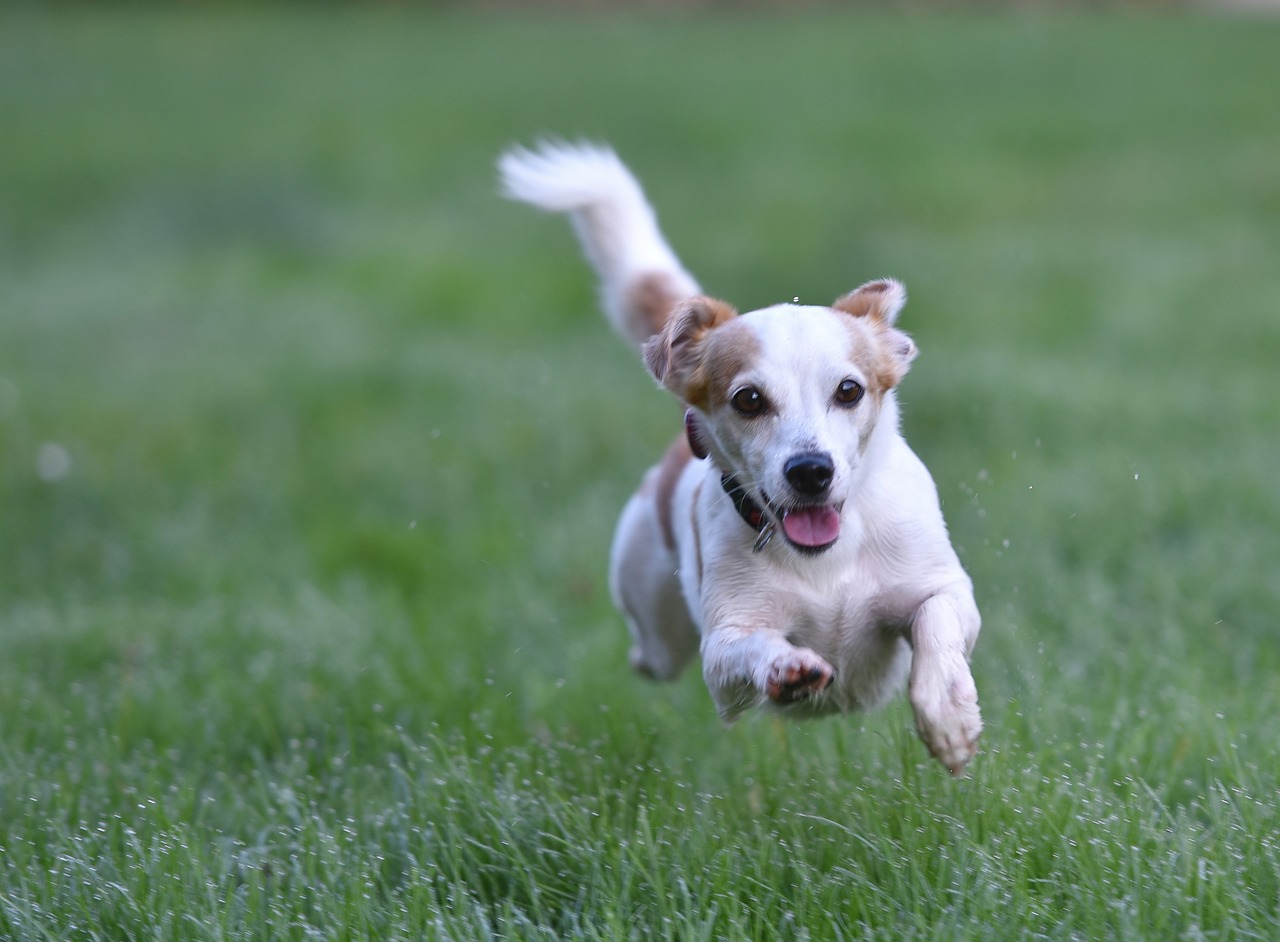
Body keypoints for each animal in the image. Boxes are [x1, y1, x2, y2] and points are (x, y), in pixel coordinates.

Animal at [496, 141, 977, 773]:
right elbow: (748, 648)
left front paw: (948, 717)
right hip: (655, 617)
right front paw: (787, 666)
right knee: (649, 655)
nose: (810, 470)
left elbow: (937, 622)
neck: (827, 558)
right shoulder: (723, 651)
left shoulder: (941, 586)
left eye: (849, 390)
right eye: (748, 399)